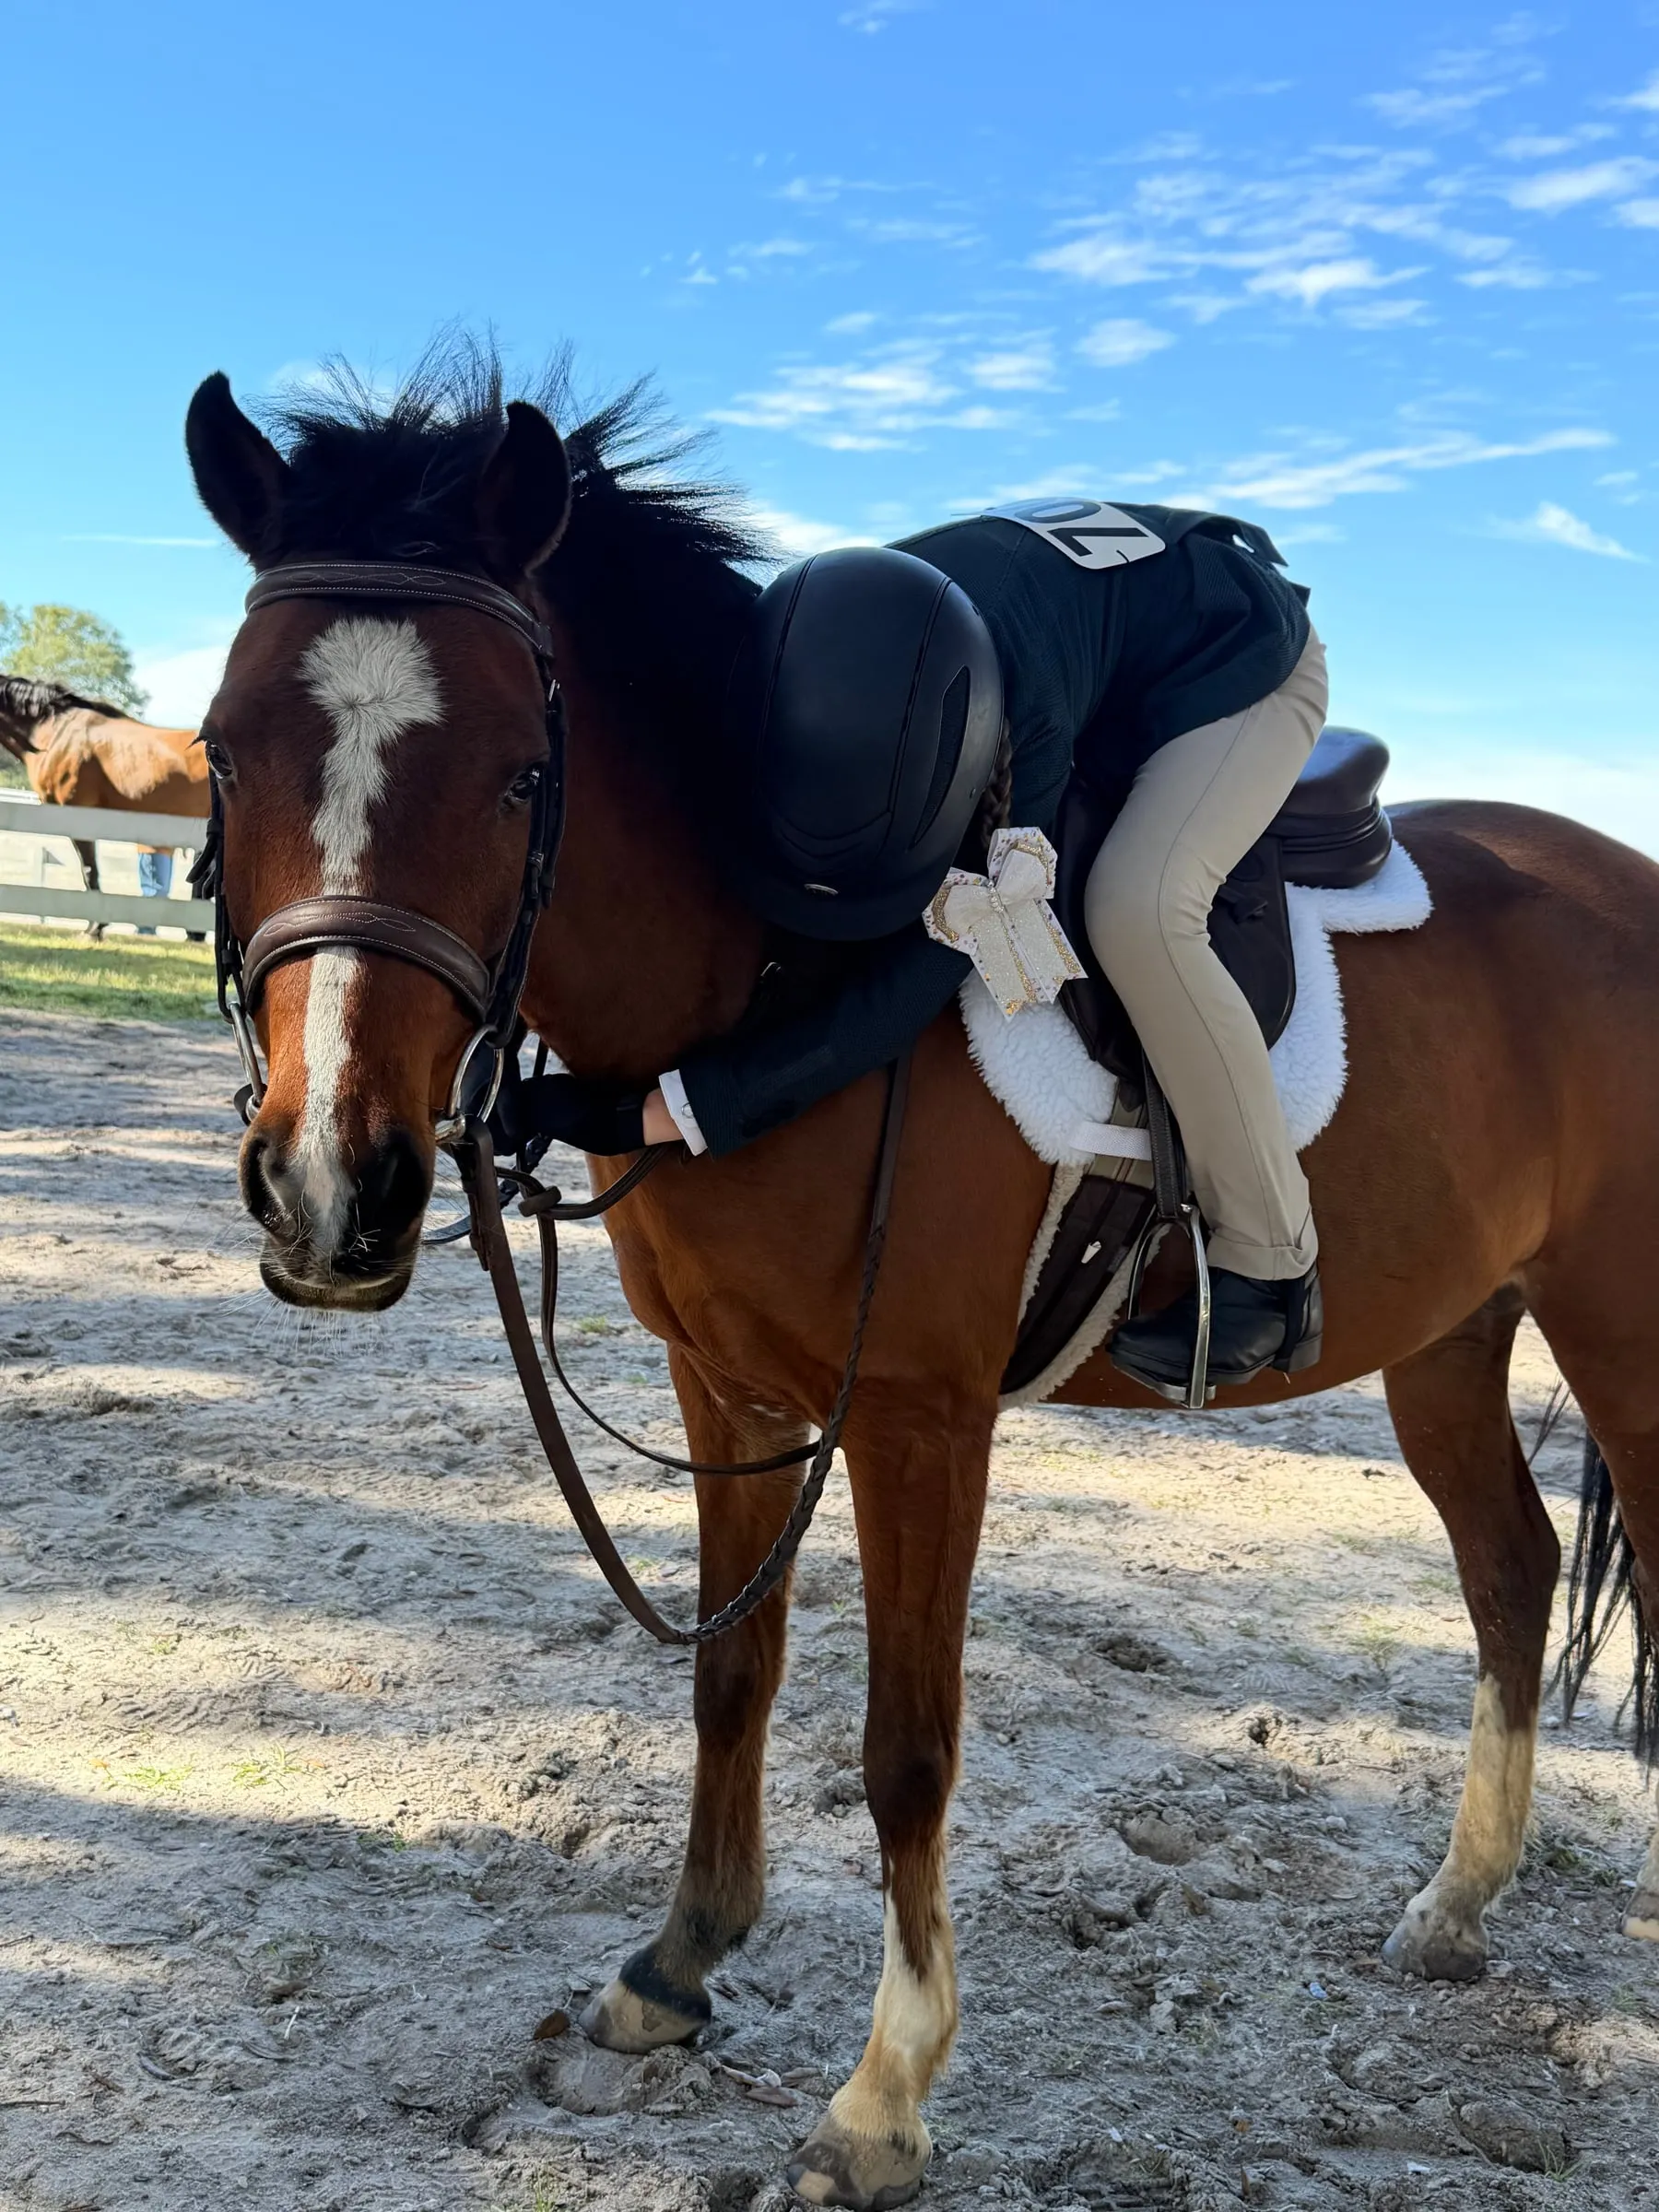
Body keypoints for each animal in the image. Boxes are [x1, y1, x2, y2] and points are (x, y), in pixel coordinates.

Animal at [181, 349, 1659, 2212]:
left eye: (523, 775)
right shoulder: (728, 1392)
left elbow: (906, 1750)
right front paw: (678, 1965)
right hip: (1452, 1334)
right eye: (224, 751)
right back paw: (1457, 1905)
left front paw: (881, 2099)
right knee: (1511, 1573)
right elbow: (731, 1673)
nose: (332, 1188)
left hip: (1625, 1333)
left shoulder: (915, 1420)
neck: (762, 974)